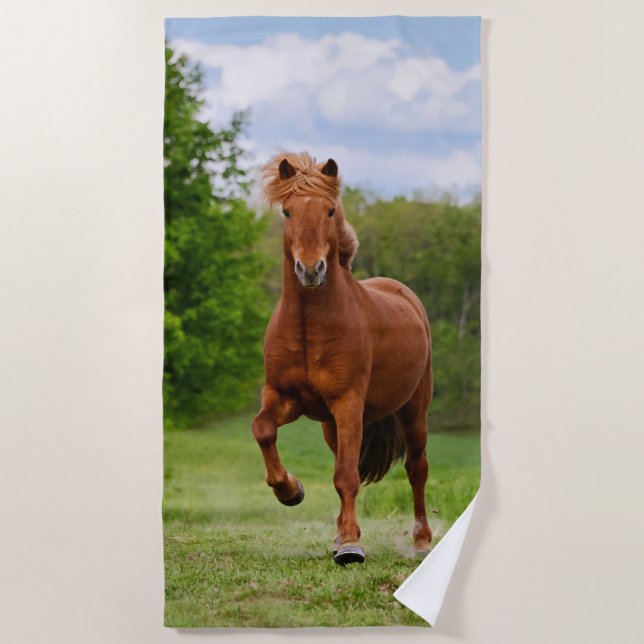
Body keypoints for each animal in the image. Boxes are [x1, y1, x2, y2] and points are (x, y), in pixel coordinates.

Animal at [251, 152, 433, 565]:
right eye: (287, 211)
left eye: (330, 211)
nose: (311, 269)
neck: (309, 326)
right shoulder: (282, 397)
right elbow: (263, 429)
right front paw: (291, 491)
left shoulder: (348, 403)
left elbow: (347, 475)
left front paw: (351, 546)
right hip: (330, 426)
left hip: (413, 411)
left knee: (416, 469)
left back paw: (420, 541)